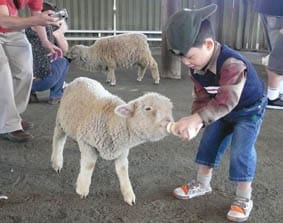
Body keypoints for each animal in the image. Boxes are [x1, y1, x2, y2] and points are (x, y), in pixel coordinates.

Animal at [50, 77, 173, 206]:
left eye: (170, 109)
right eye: (148, 108)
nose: (168, 122)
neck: (113, 122)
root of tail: (79, 79)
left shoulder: (122, 151)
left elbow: (123, 170)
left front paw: (129, 195)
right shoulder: (87, 142)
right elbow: (89, 165)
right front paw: (82, 189)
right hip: (61, 121)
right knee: (58, 139)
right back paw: (57, 162)